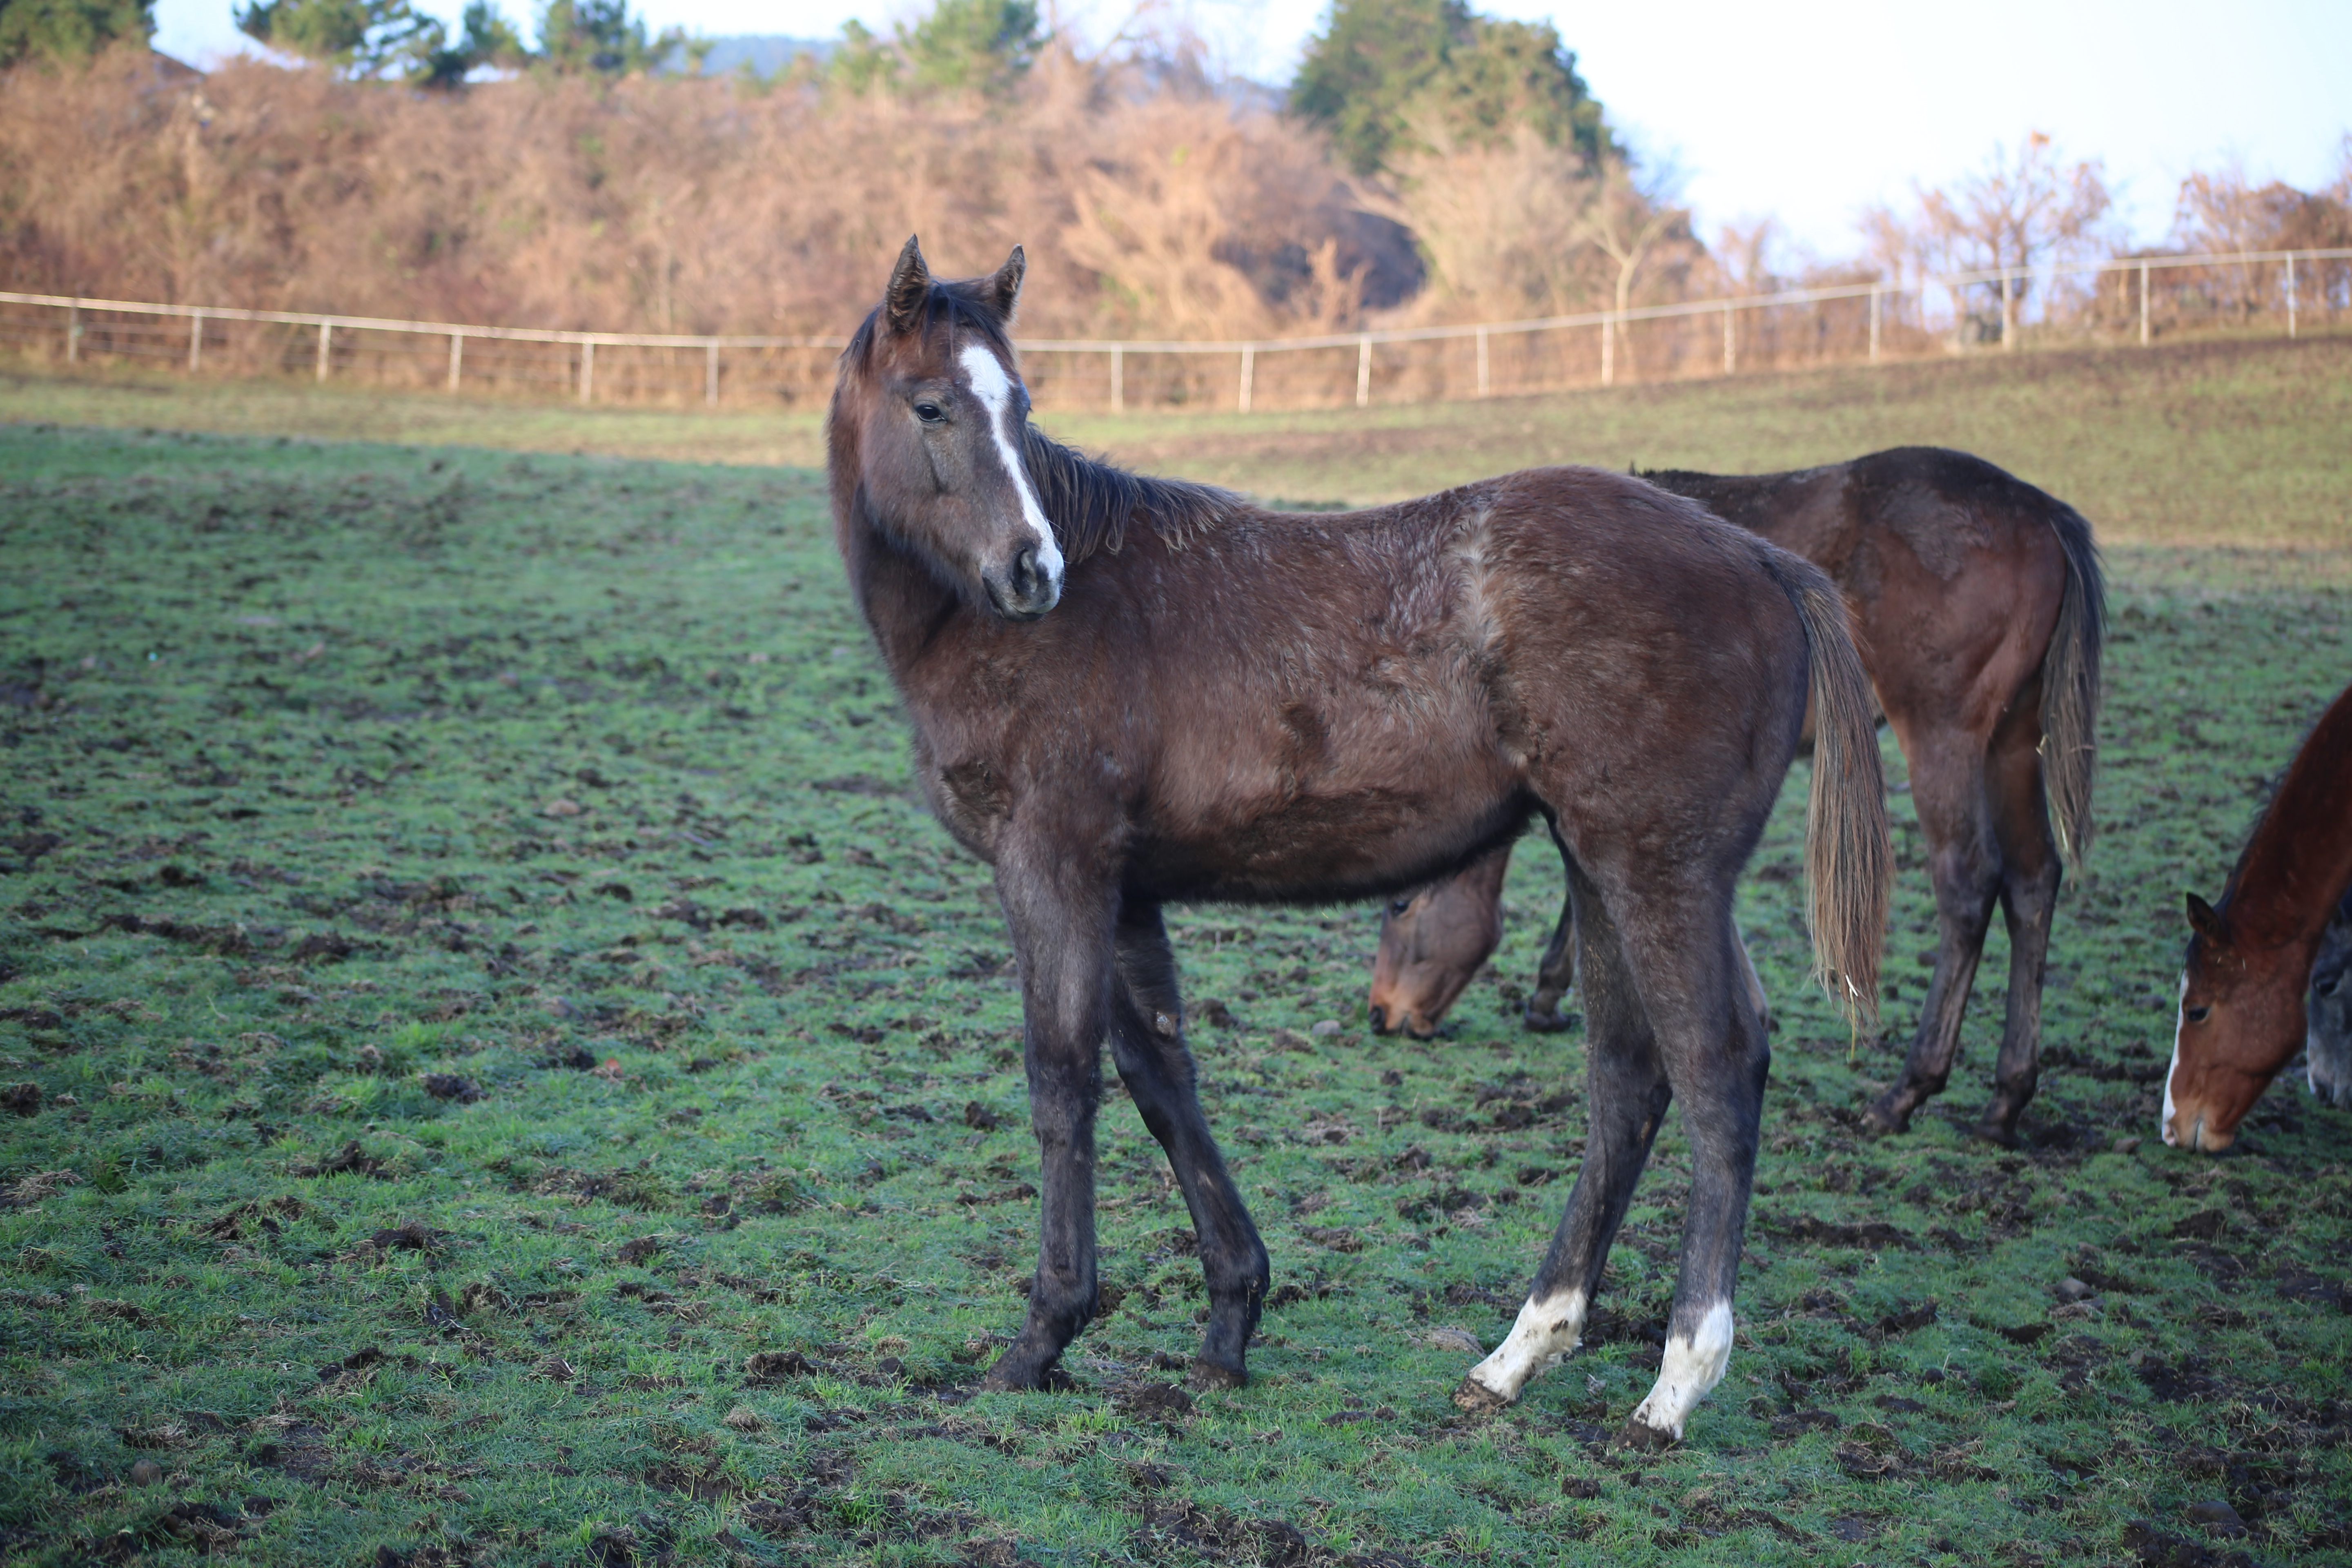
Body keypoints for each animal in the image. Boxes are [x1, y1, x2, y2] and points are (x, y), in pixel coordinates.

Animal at [828, 240, 1891, 1457]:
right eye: (932, 405)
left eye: (1020, 406)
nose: (1030, 572)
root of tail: (1763, 559)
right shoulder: (1120, 890)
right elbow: (1160, 1077)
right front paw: (1229, 1322)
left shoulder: (1051, 871)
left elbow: (1063, 1085)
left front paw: (1039, 1339)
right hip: (1604, 868)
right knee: (1628, 1077)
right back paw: (1518, 1354)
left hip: (1657, 871)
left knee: (1713, 1065)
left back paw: (1674, 1384)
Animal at [1373, 446, 2107, 1147]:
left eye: (1402, 906)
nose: (1383, 1014)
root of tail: (2044, 514)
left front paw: (1549, 995)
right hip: (2012, 740)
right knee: (2033, 881)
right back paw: (2005, 1100)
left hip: (1942, 735)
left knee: (1969, 885)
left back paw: (1905, 1093)